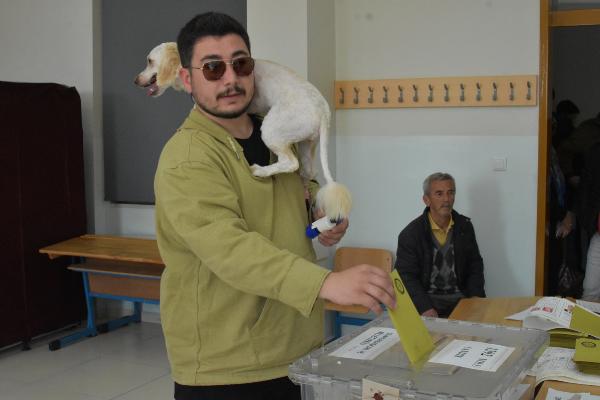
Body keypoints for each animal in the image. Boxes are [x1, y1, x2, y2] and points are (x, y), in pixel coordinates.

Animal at [136, 43, 352, 222]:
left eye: (149, 61)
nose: (136, 80)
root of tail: (323, 111)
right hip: (307, 142)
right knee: (307, 171)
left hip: (272, 130)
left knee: (291, 163)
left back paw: (261, 170)